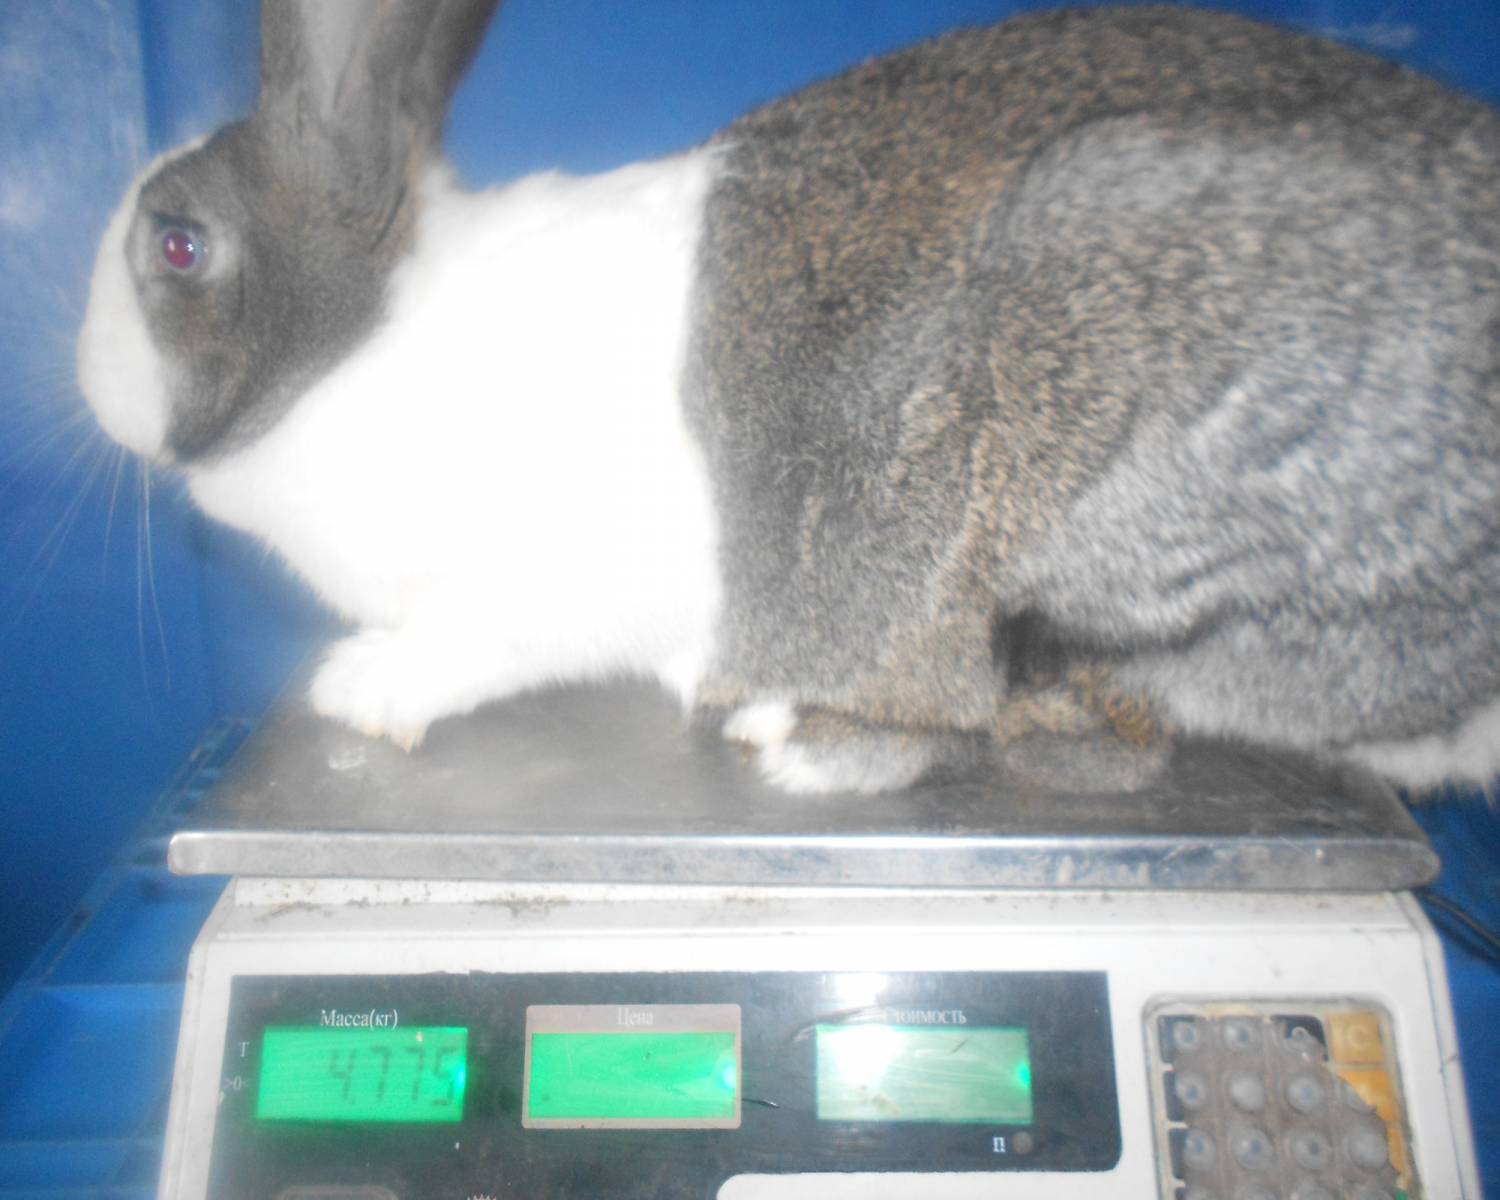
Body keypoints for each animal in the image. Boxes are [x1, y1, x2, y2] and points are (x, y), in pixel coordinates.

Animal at [77, 0, 1500, 797]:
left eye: (180, 247)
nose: (84, 382)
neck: (363, 345)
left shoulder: (537, 588)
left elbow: (471, 643)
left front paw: (362, 691)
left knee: (1044, 718)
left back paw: (797, 741)